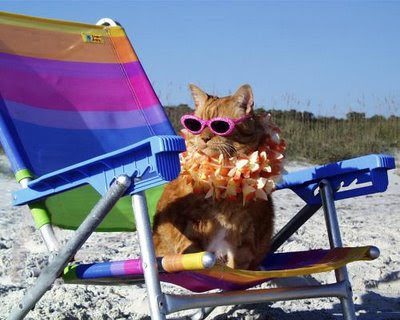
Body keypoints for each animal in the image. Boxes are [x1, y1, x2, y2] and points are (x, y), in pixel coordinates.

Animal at [153, 84, 278, 268]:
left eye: (219, 126)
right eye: (196, 125)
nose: (204, 138)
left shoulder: (244, 241)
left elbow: (236, 267)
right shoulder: (192, 231)